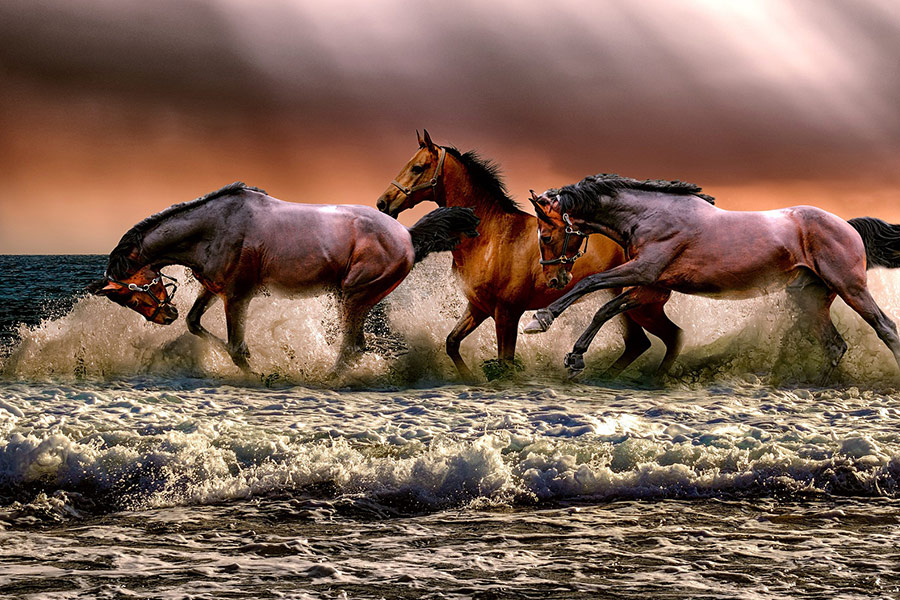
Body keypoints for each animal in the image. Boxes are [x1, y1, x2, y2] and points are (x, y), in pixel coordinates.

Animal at [88, 182, 480, 373]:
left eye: (132, 291)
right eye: (124, 299)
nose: (164, 316)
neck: (213, 228)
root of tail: (408, 235)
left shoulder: (238, 296)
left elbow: (236, 348)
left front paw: (259, 374)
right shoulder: (213, 289)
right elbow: (195, 323)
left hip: (354, 296)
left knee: (351, 348)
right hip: (354, 299)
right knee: (356, 346)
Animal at [377, 130, 683, 380]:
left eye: (417, 167)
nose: (383, 203)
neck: (492, 238)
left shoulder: (507, 314)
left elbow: (505, 363)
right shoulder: (478, 308)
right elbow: (452, 343)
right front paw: (469, 378)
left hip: (641, 306)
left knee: (670, 338)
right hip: (628, 306)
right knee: (641, 343)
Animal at [523, 174, 900, 383]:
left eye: (546, 235)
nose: (555, 278)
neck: (649, 215)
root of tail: (847, 225)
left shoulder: (644, 271)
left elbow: (590, 284)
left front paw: (539, 320)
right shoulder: (650, 287)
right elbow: (606, 309)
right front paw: (575, 358)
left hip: (849, 287)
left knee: (885, 327)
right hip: (810, 299)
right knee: (835, 345)